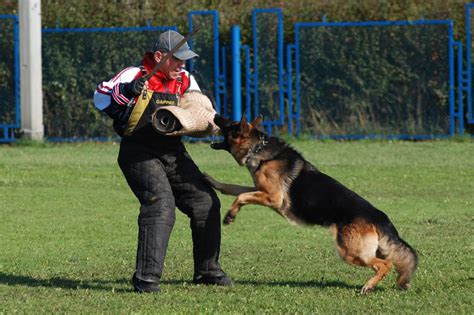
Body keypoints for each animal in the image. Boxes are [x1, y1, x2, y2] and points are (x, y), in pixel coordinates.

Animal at [206, 115, 416, 296]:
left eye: (230, 123)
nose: (215, 115)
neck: (258, 149)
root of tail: (380, 218)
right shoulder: (259, 190)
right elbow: (233, 188)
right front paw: (210, 180)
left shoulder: (273, 197)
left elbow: (241, 196)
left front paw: (230, 216)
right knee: (389, 261)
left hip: (350, 252)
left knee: (385, 264)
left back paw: (368, 286)